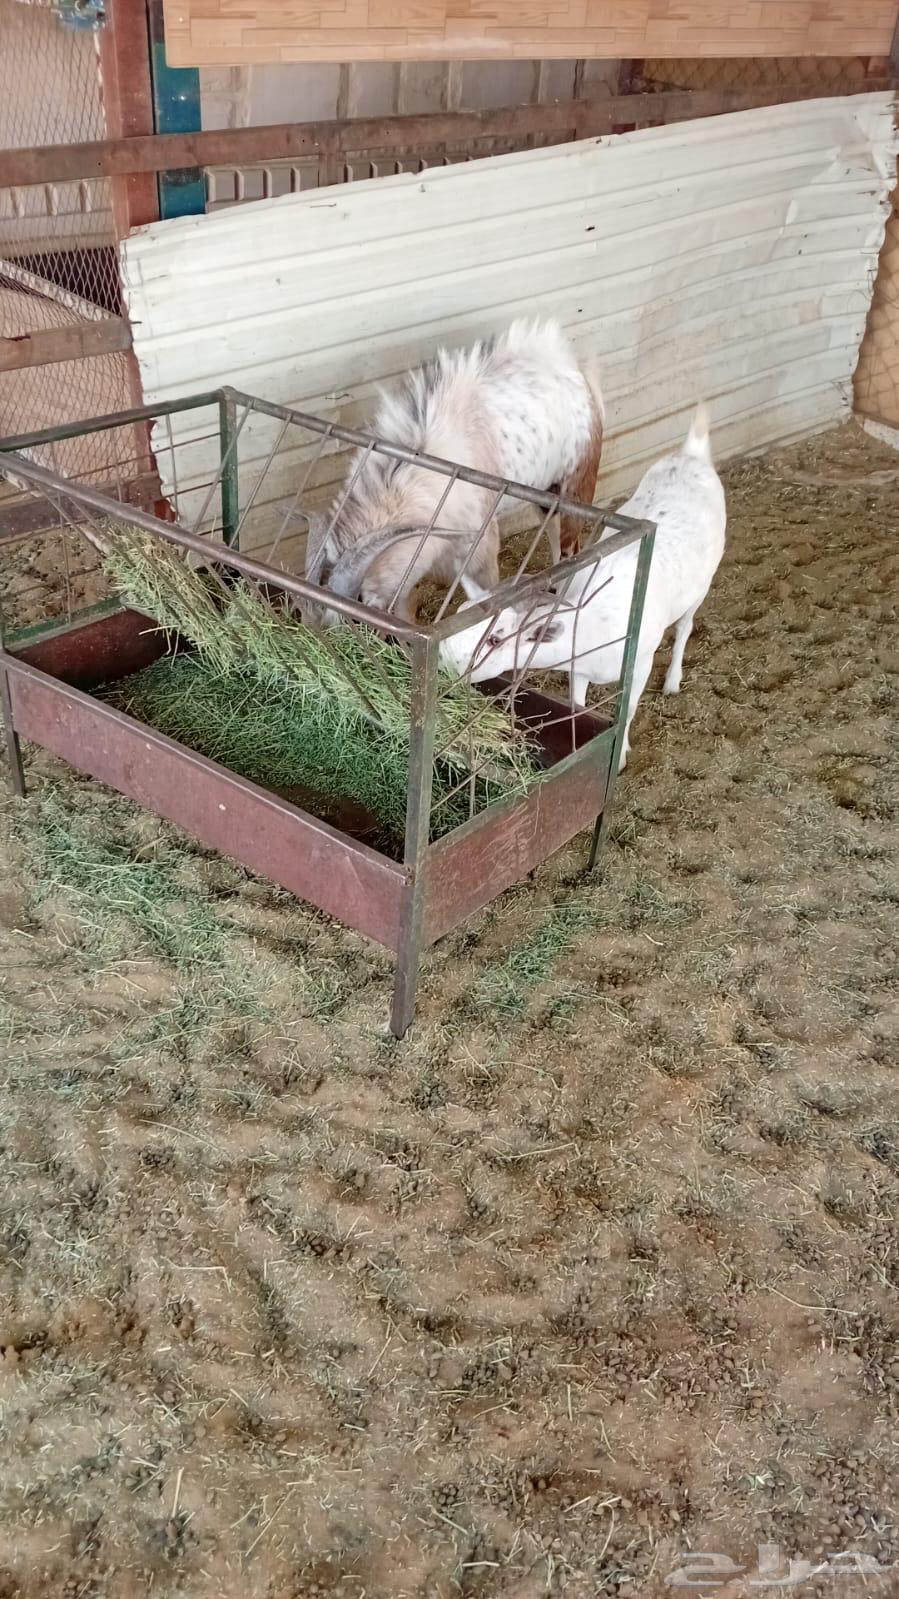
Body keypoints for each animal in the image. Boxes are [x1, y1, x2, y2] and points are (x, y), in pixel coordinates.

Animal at [307, 319, 604, 621]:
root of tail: (576, 370)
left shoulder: (480, 543)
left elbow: (485, 592)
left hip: (576, 484)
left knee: (570, 545)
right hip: (544, 492)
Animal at [438, 405, 726, 773]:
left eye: (495, 639)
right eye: (461, 613)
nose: (444, 658)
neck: (594, 622)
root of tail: (692, 454)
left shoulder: (640, 664)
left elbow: (629, 711)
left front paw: (619, 757)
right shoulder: (580, 669)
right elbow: (577, 705)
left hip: (701, 585)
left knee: (685, 627)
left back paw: (673, 681)